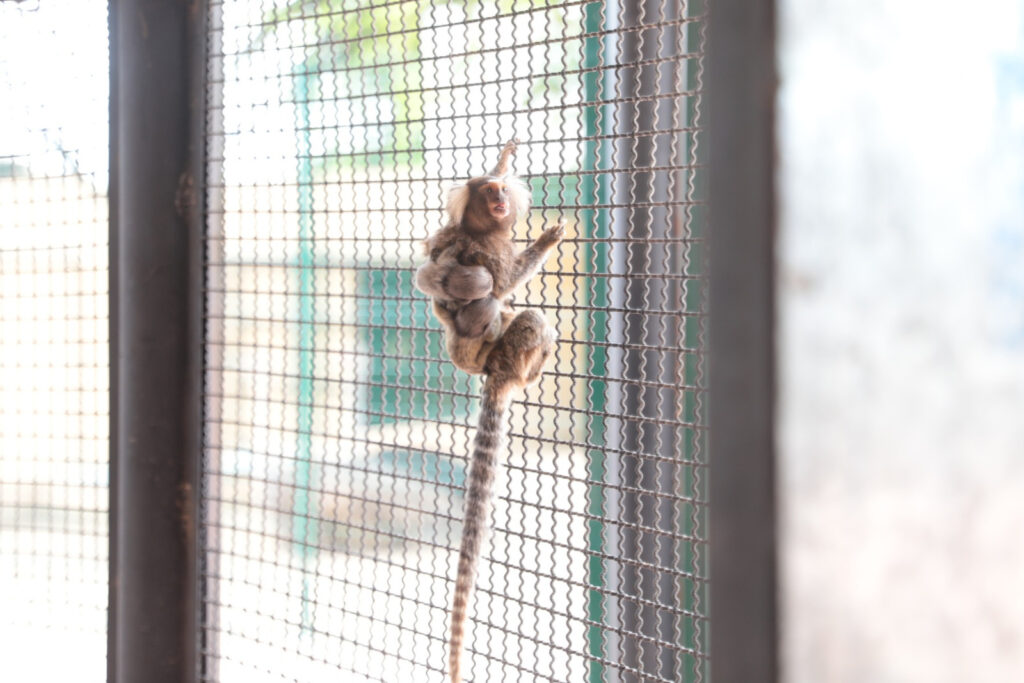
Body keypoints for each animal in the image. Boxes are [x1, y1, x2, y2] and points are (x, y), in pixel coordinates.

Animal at [411, 140, 565, 683]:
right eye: (489, 196)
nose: (500, 200)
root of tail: (498, 371)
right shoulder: (488, 253)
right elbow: (507, 275)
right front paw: (544, 240)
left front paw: (504, 155)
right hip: (512, 351)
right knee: (530, 318)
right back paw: (531, 364)